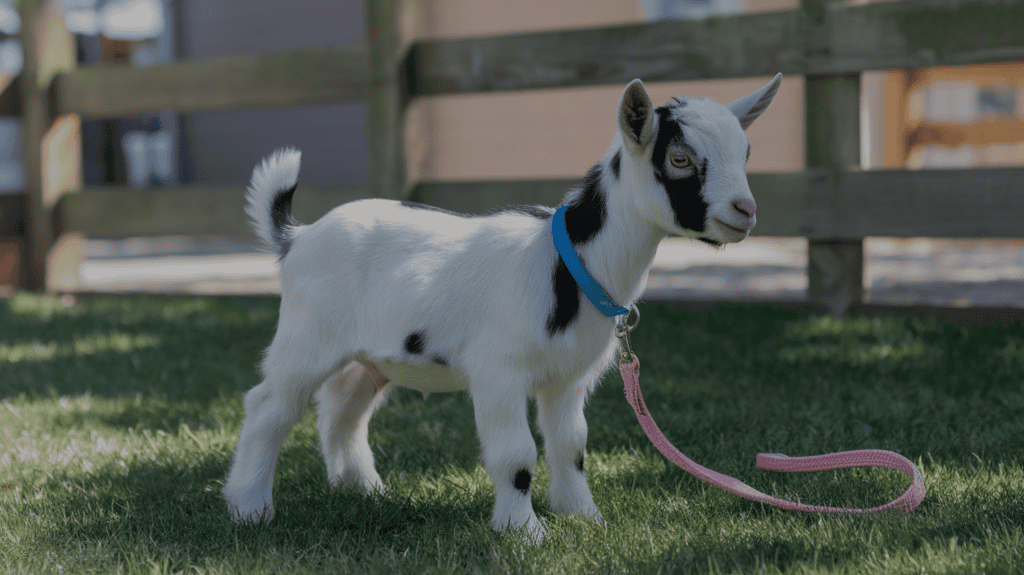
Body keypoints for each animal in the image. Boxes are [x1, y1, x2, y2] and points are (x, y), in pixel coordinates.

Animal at [223, 75, 782, 543]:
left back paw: (362, 489)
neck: (569, 261)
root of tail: (297, 237)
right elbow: (516, 454)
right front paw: (524, 532)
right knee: (269, 406)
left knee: (342, 408)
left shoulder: (567, 379)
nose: (745, 212)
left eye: (746, 152)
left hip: (370, 355)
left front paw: (585, 517)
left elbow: (571, 446)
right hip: (308, 334)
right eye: (680, 159)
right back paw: (249, 507)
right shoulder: (499, 371)